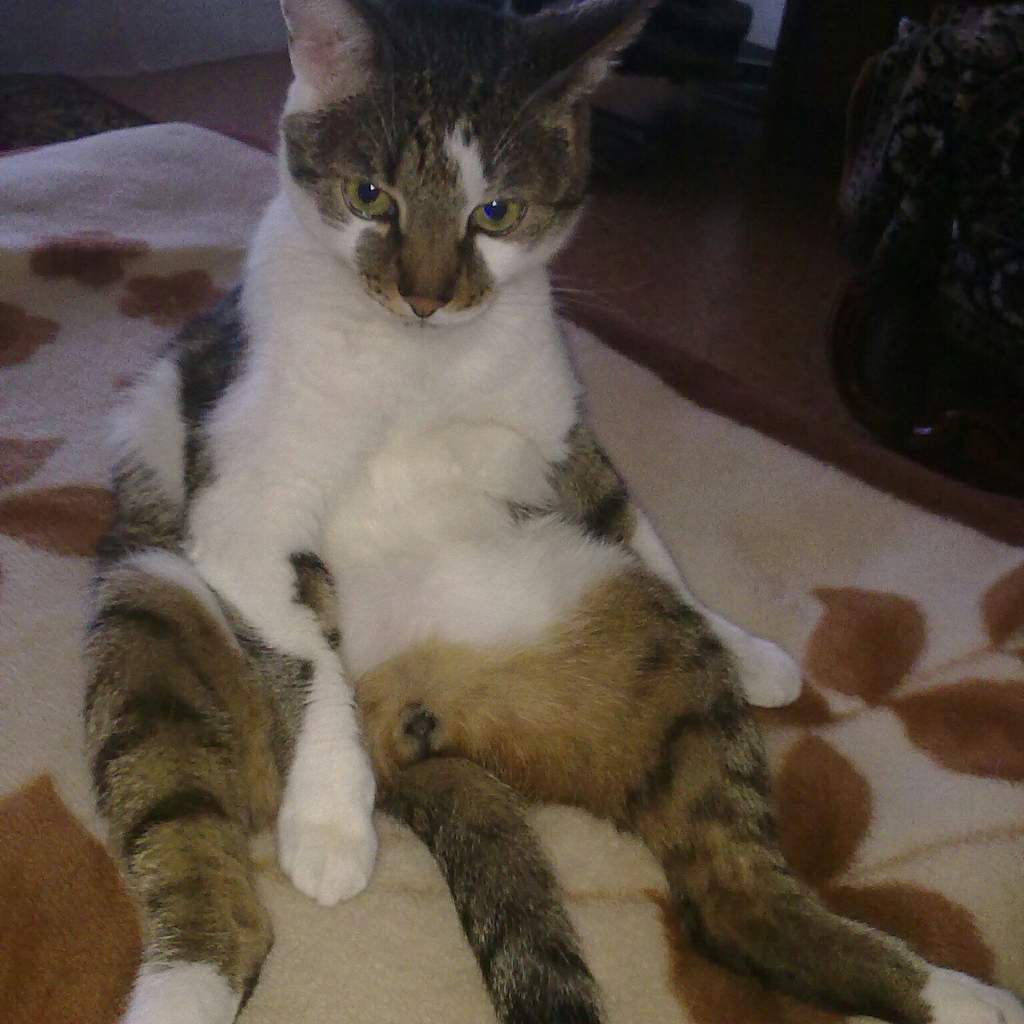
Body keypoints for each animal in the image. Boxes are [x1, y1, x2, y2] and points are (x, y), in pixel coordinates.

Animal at [82, 1, 1024, 1023]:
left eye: (496, 212)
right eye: (371, 197)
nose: (425, 296)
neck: (417, 361)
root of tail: (412, 711)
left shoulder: (562, 436)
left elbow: (640, 528)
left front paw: (748, 645)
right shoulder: (239, 511)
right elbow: (310, 653)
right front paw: (330, 816)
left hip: (642, 646)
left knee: (735, 898)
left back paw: (956, 995)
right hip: (151, 603)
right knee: (208, 885)